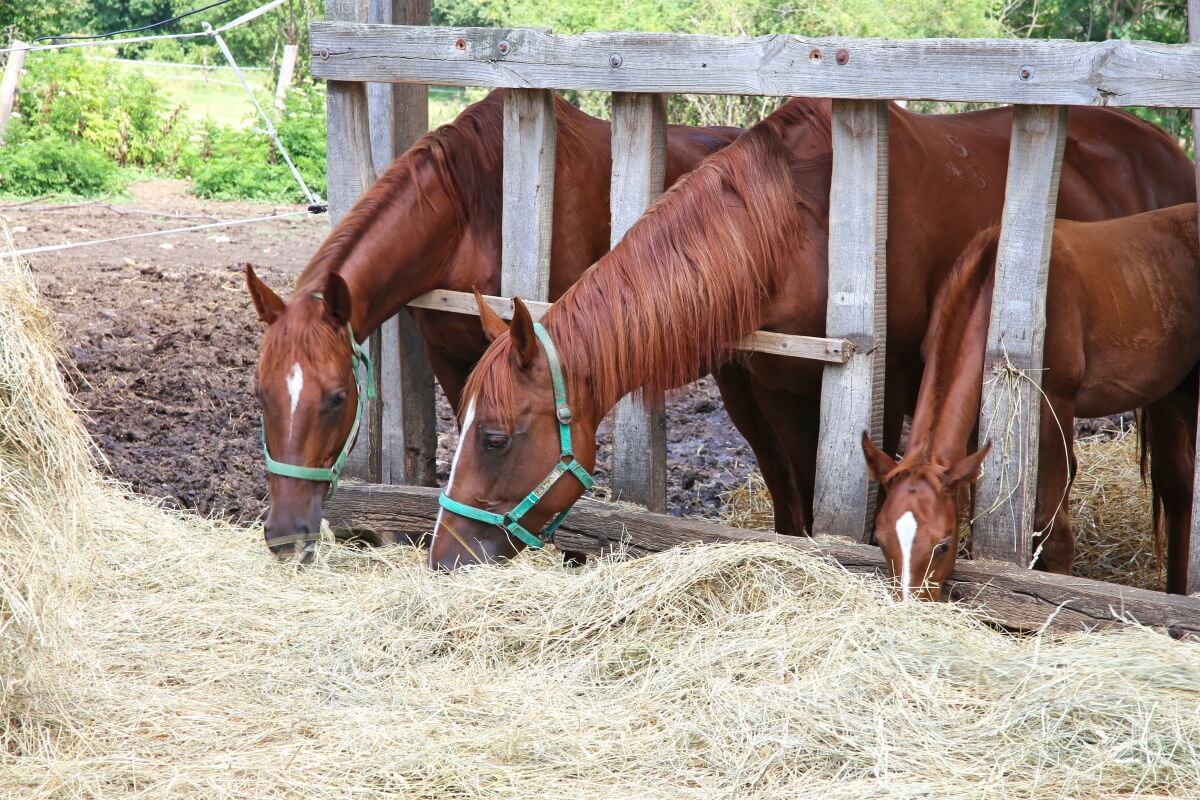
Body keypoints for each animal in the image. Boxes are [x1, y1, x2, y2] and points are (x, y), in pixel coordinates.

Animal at [862, 203, 1200, 599]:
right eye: (882, 539)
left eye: (942, 545)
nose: (910, 604)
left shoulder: (1056, 406)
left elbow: (1054, 534)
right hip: (1170, 393)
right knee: (1178, 487)